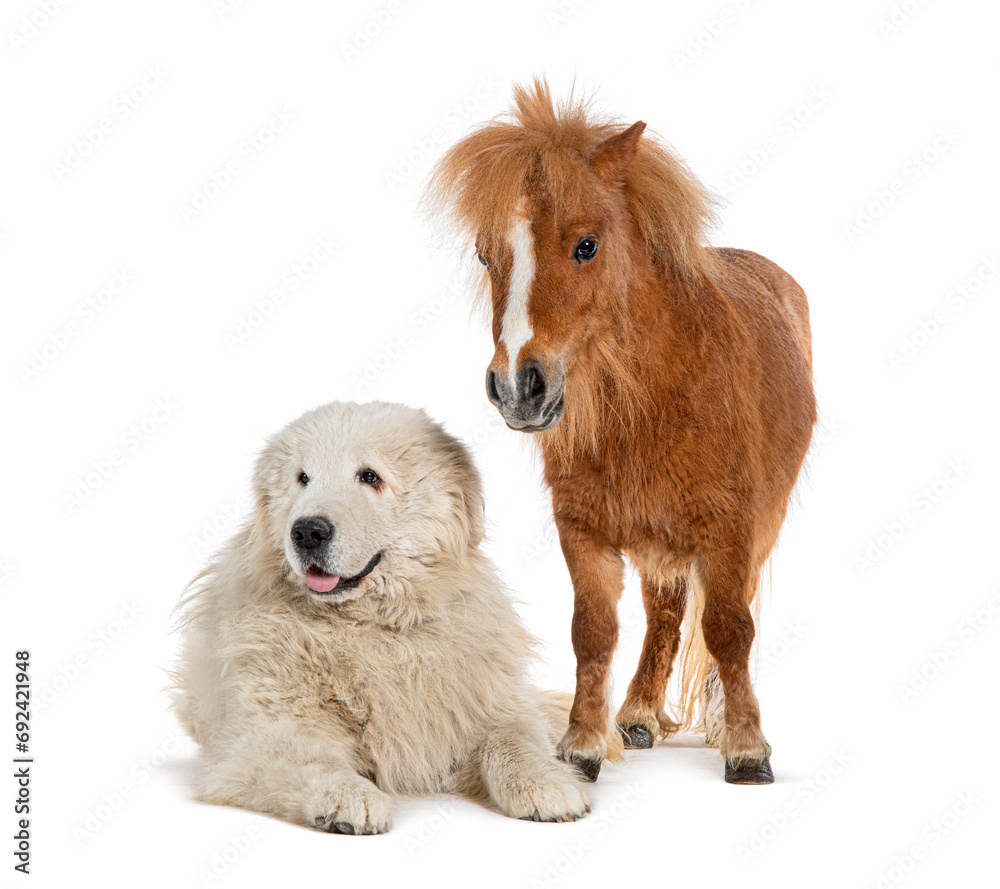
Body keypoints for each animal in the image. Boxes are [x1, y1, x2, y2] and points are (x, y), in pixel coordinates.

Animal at [425, 79, 816, 784]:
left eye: (587, 245)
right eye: (485, 254)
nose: (518, 387)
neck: (652, 402)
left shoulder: (730, 529)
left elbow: (729, 628)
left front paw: (747, 746)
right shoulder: (583, 529)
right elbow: (593, 631)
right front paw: (582, 744)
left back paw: (718, 720)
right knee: (664, 615)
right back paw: (636, 713)